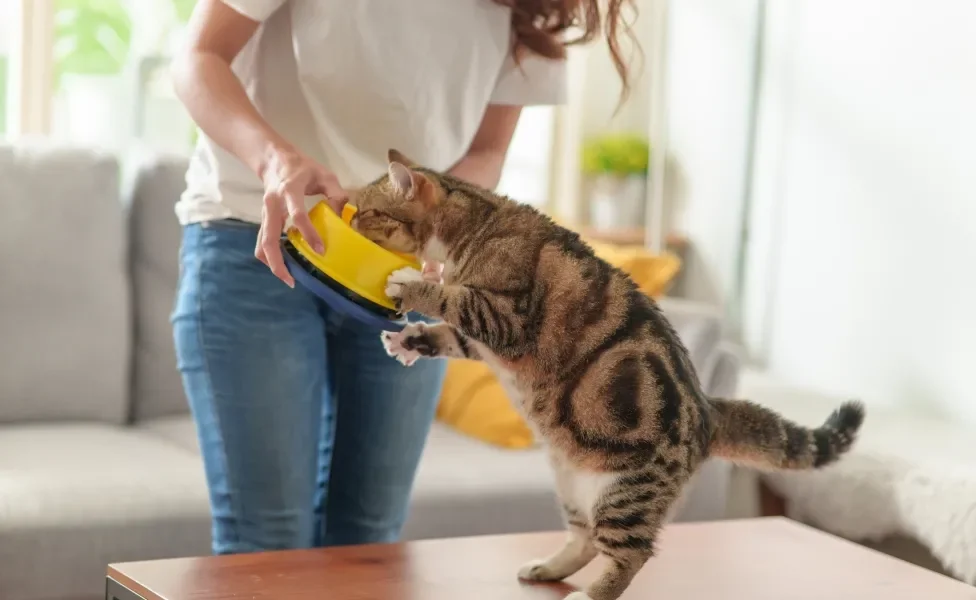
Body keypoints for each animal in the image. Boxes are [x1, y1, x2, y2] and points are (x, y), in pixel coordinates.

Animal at [346, 148, 864, 596]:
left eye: (366, 212)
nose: (346, 219)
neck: (478, 223)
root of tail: (707, 410)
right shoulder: (483, 340)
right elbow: (450, 334)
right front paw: (410, 339)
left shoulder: (505, 318)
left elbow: (451, 299)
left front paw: (409, 284)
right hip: (573, 486)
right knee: (586, 539)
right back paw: (546, 568)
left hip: (625, 493)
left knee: (632, 553)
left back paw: (591, 595)